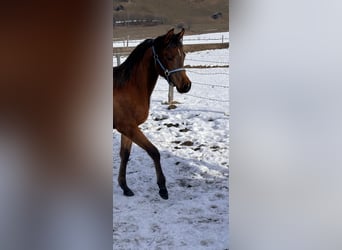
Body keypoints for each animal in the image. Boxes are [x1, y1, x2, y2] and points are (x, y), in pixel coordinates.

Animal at [113, 27, 191, 199]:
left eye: (183, 55)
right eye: (168, 56)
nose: (186, 86)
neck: (128, 88)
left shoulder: (128, 129)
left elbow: (125, 155)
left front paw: (125, 187)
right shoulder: (128, 127)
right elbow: (154, 152)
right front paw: (162, 188)